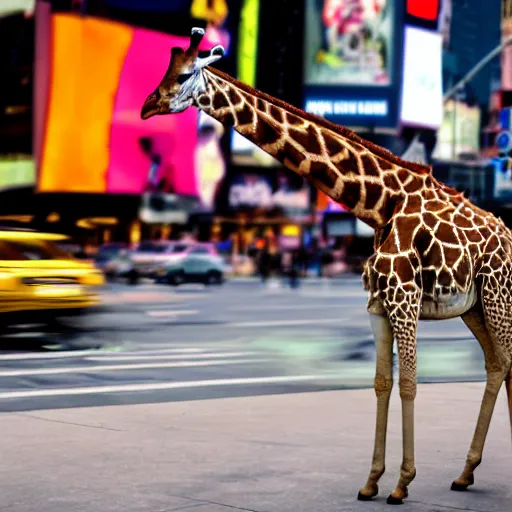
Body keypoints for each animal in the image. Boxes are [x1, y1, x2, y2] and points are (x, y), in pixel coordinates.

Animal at [140, 27, 512, 504]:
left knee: (506, 361)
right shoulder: (378, 306)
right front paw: (372, 481)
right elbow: (382, 383)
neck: (379, 204)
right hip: (474, 307)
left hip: (497, 296)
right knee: (497, 363)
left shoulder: (405, 301)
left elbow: (409, 382)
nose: (148, 105)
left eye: (185, 73)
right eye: (164, 71)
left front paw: (401, 483)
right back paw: (466, 473)